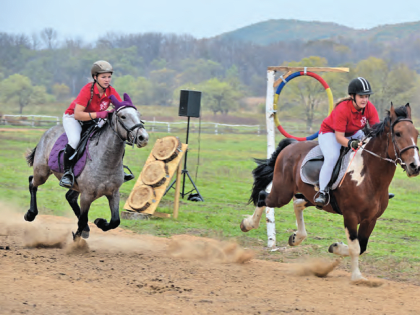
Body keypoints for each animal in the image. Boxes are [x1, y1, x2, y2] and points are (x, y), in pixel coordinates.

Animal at [25, 103, 149, 239]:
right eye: (123, 116)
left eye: (139, 115)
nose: (143, 137)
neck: (106, 160)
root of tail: (48, 131)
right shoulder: (86, 196)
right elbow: (83, 219)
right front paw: (77, 239)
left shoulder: (114, 193)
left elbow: (115, 221)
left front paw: (100, 222)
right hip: (42, 172)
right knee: (32, 182)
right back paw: (30, 214)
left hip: (74, 185)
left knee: (69, 197)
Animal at [240, 103, 420, 282]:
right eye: (398, 133)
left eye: (416, 134)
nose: (414, 166)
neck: (368, 176)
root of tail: (291, 145)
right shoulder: (350, 216)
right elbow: (355, 247)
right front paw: (356, 276)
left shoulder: (371, 219)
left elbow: (361, 246)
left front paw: (336, 248)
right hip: (282, 193)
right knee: (263, 197)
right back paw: (248, 224)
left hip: (310, 197)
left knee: (297, 204)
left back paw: (297, 237)